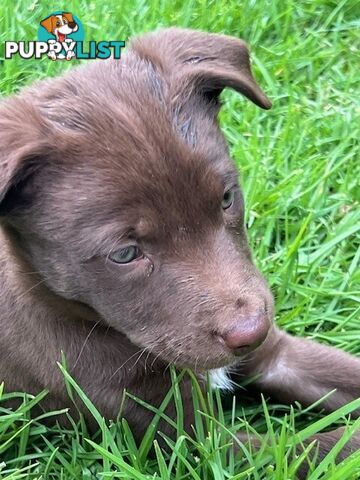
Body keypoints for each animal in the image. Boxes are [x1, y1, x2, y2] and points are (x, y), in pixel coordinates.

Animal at [0, 28, 360, 470]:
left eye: (227, 199)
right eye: (124, 254)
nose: (252, 330)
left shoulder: (276, 355)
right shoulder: (190, 441)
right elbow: (317, 447)